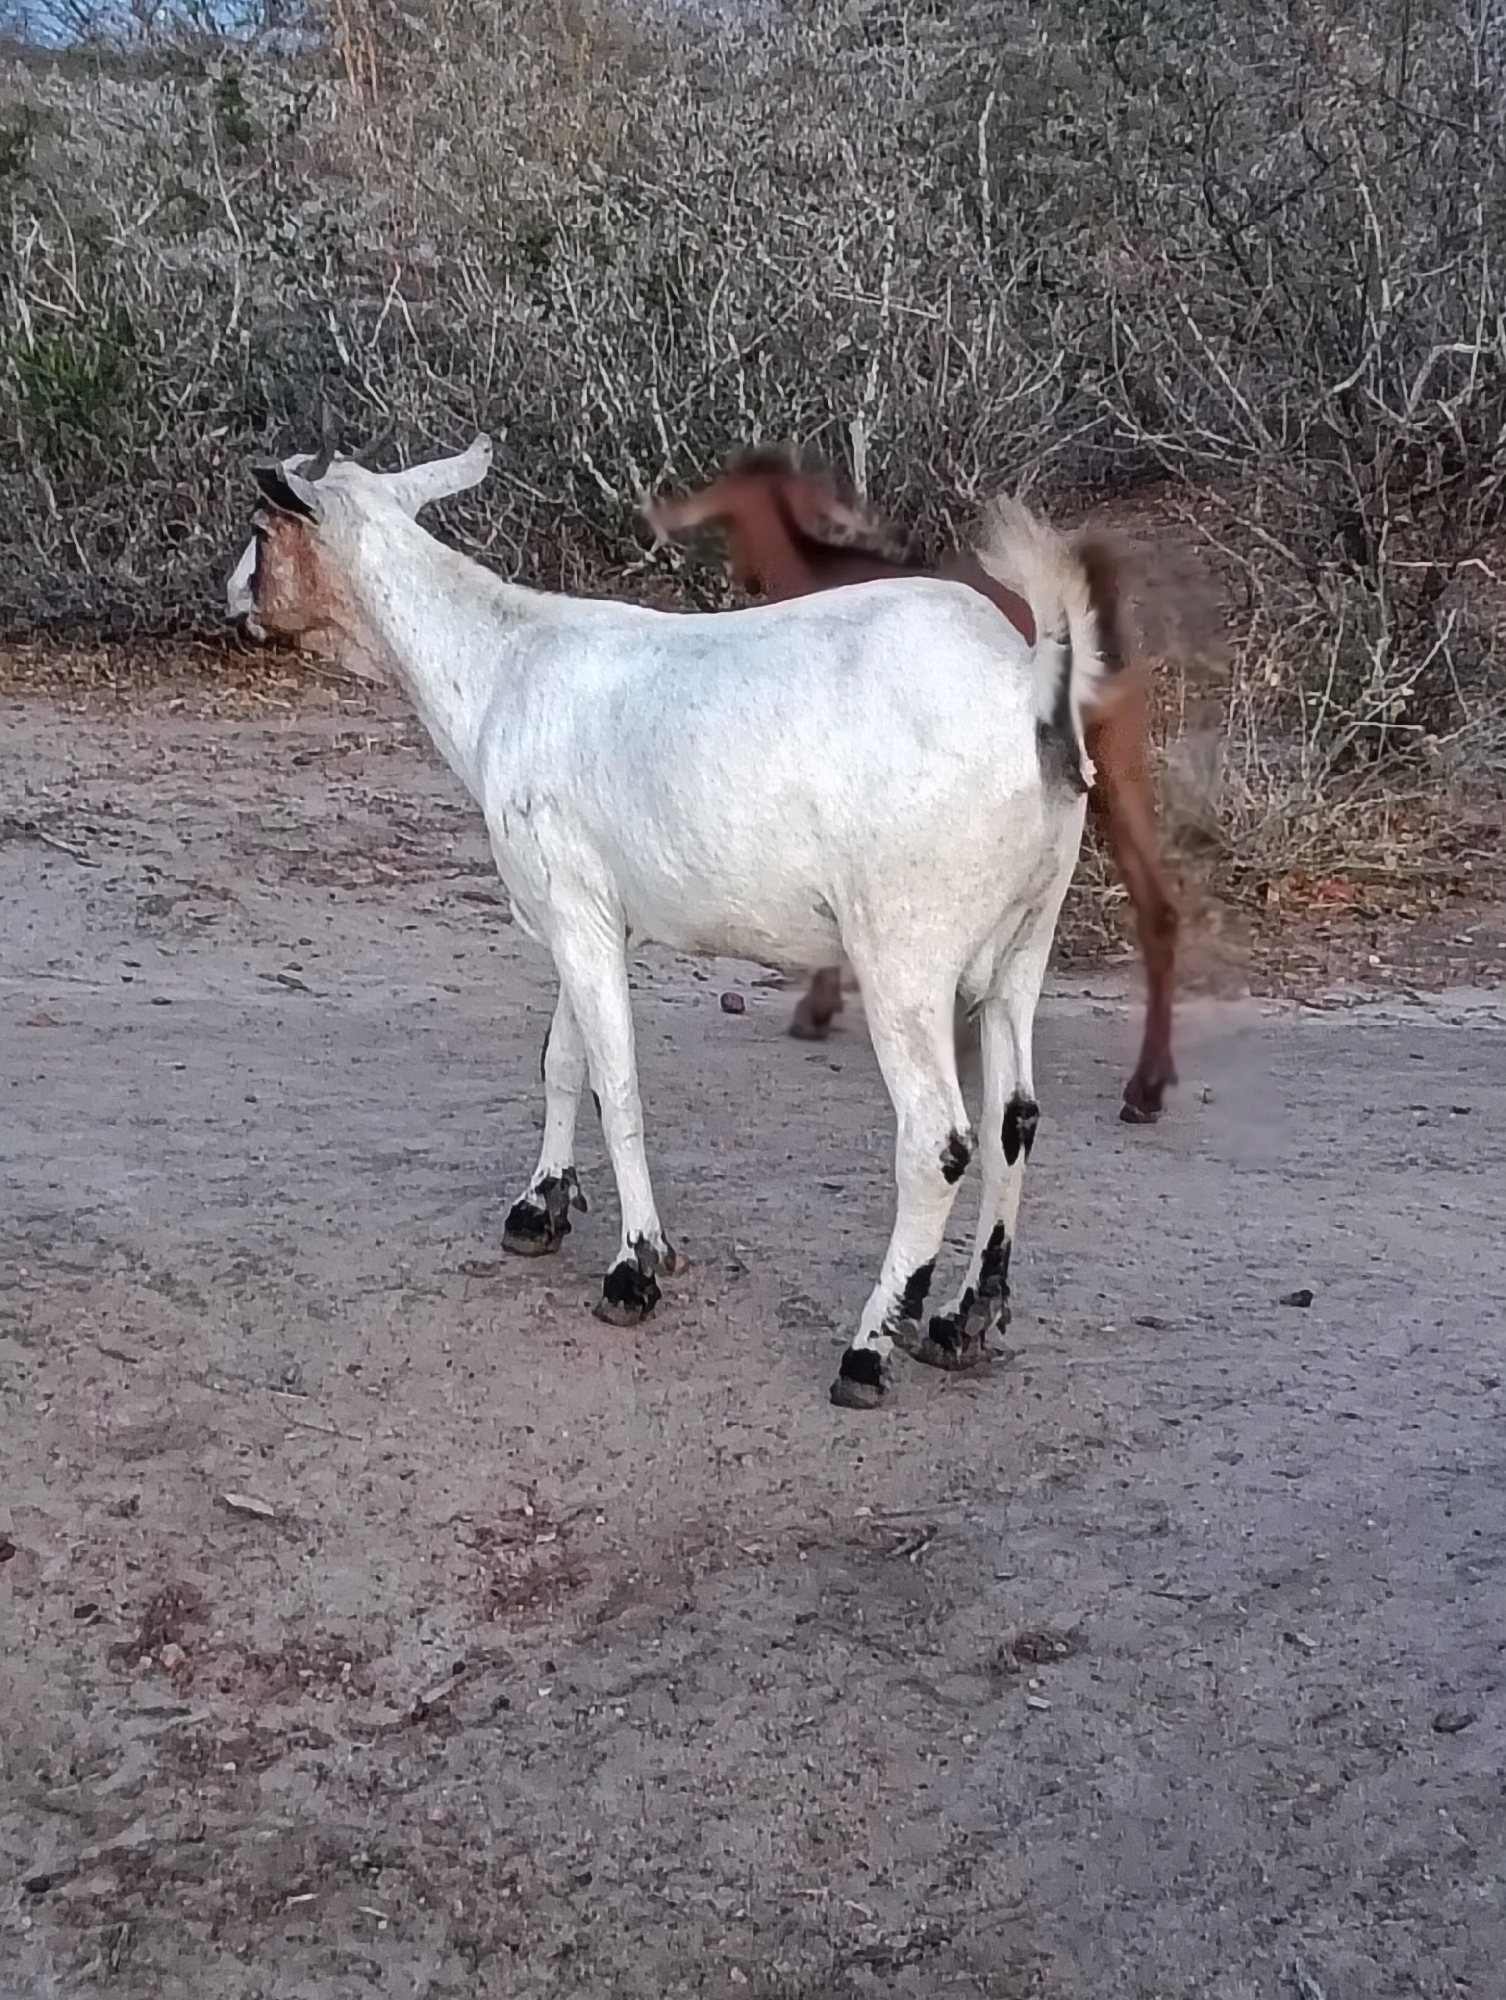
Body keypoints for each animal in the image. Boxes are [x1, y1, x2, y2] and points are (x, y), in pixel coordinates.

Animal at [227, 437, 1126, 1408]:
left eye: (260, 528)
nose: (231, 597)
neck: (501, 662)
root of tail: (1027, 689)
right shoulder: (586, 913)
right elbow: (564, 1061)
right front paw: (538, 1209)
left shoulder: (574, 910)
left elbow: (615, 1082)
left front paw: (635, 1267)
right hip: (1026, 937)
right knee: (1013, 1118)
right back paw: (963, 1320)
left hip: (906, 951)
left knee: (938, 1140)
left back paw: (869, 1348)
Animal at [645, 449, 1182, 1124]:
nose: (740, 577)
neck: (813, 567)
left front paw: (817, 1008)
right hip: (1115, 761)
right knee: (1157, 907)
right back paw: (1146, 1086)